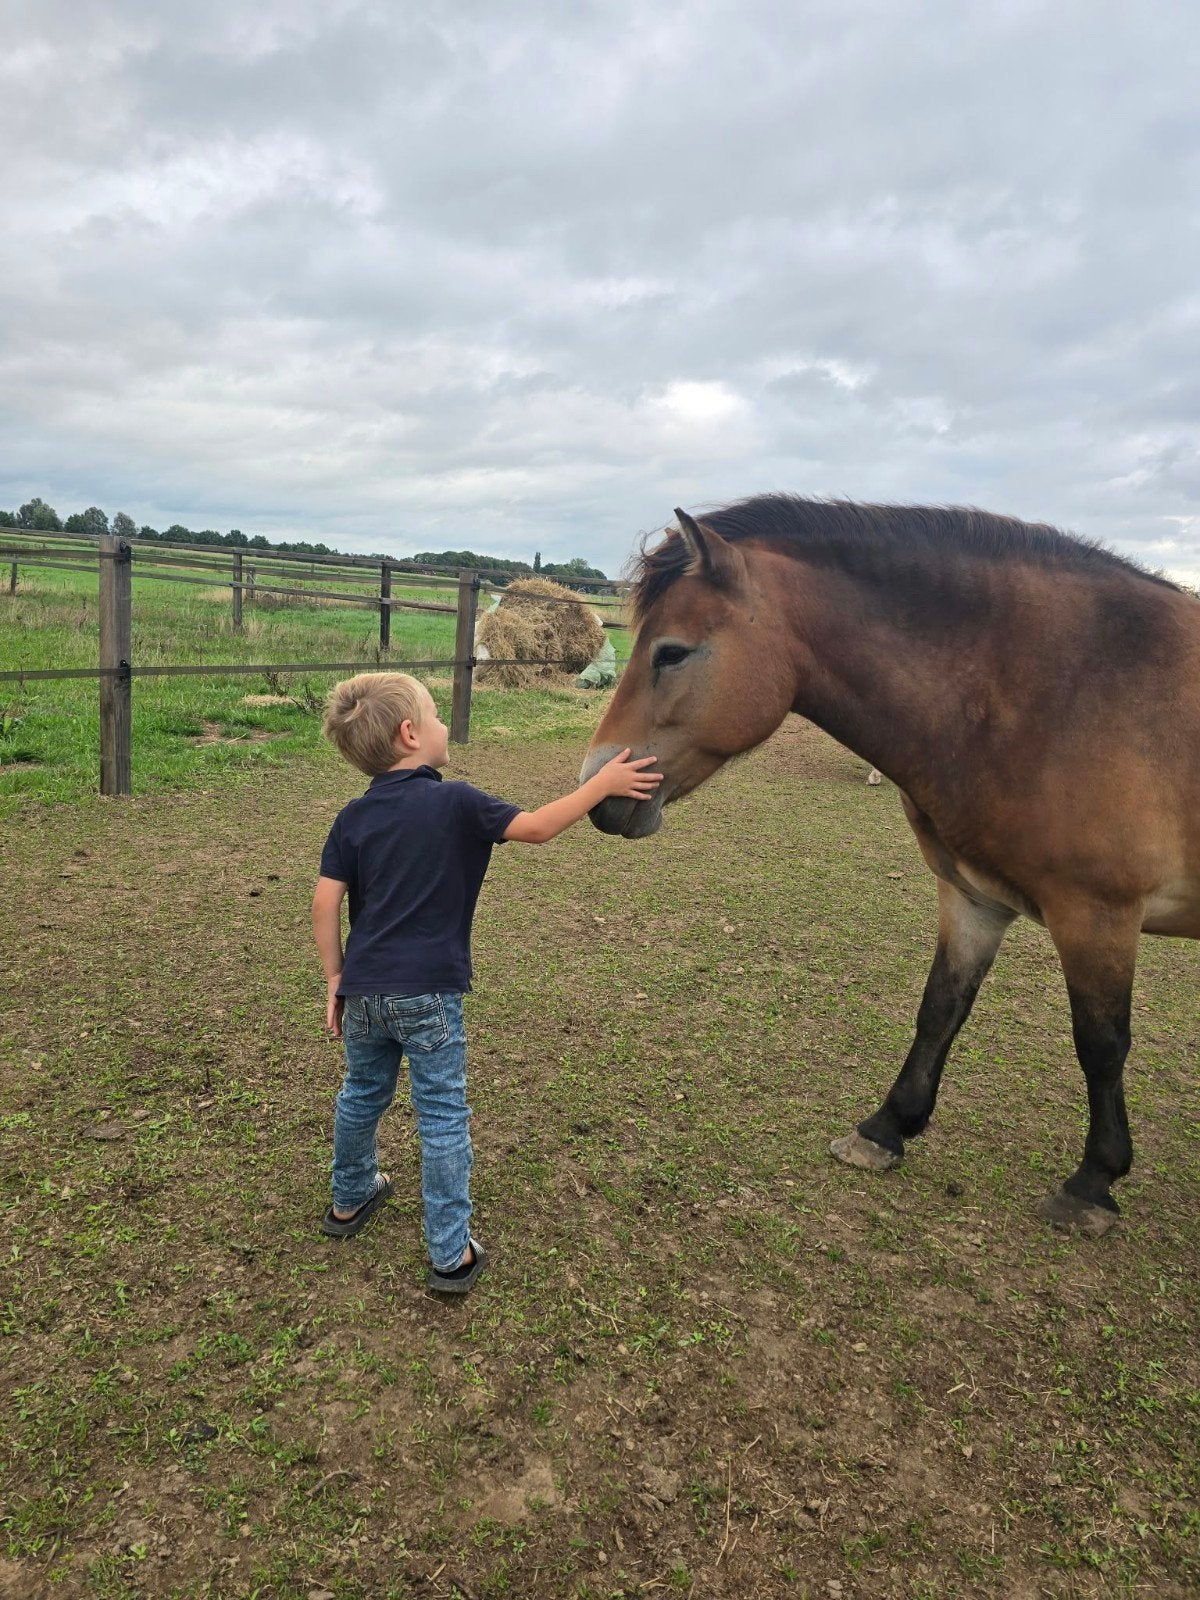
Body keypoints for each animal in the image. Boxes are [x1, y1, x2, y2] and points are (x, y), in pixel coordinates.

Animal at [581, 496, 1200, 1235]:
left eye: (672, 652)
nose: (597, 790)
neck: (1057, 690)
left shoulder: (1098, 913)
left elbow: (1101, 1044)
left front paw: (1093, 1182)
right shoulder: (973, 898)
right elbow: (940, 1009)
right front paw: (886, 1127)